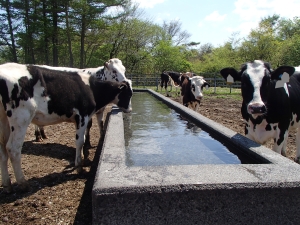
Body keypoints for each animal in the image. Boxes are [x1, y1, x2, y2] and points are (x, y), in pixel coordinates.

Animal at [0, 62, 132, 192]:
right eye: (128, 94)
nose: (130, 109)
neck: (91, 88)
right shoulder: (82, 116)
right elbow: (80, 141)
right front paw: (79, 167)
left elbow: (84, 138)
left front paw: (81, 158)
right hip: (21, 118)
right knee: (13, 148)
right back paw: (23, 183)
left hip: (5, 121)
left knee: (3, 149)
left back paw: (7, 185)